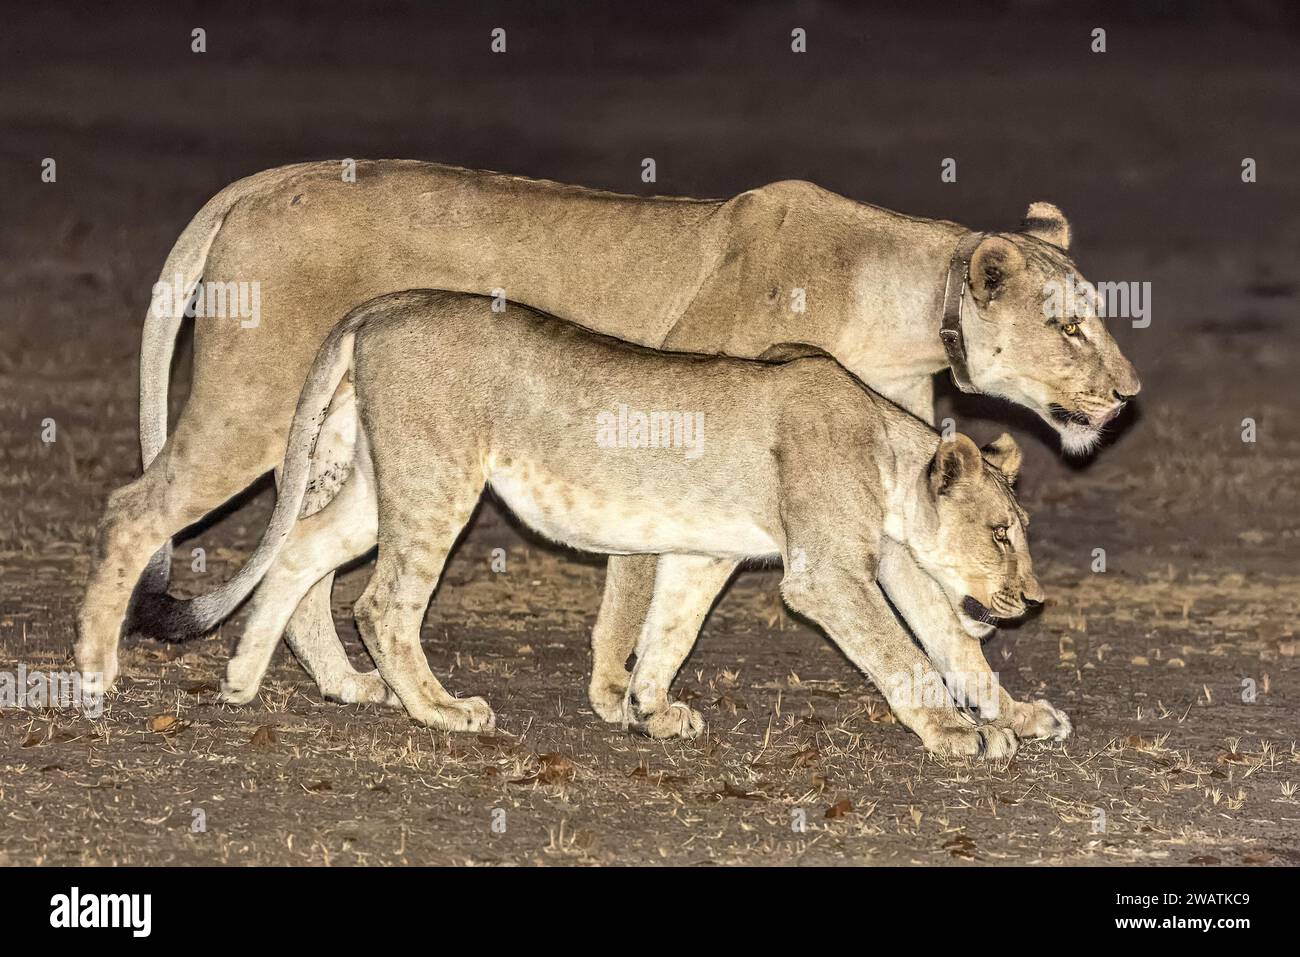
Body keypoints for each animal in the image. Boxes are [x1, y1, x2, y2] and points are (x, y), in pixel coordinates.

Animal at [159, 289, 1066, 754]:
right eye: (1000, 532)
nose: (1030, 599)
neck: (885, 452)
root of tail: (379, 308)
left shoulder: (709, 553)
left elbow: (672, 628)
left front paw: (650, 708)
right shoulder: (827, 571)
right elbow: (906, 655)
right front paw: (955, 731)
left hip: (382, 486)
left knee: (299, 548)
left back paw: (252, 680)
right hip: (439, 480)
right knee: (381, 604)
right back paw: (442, 709)